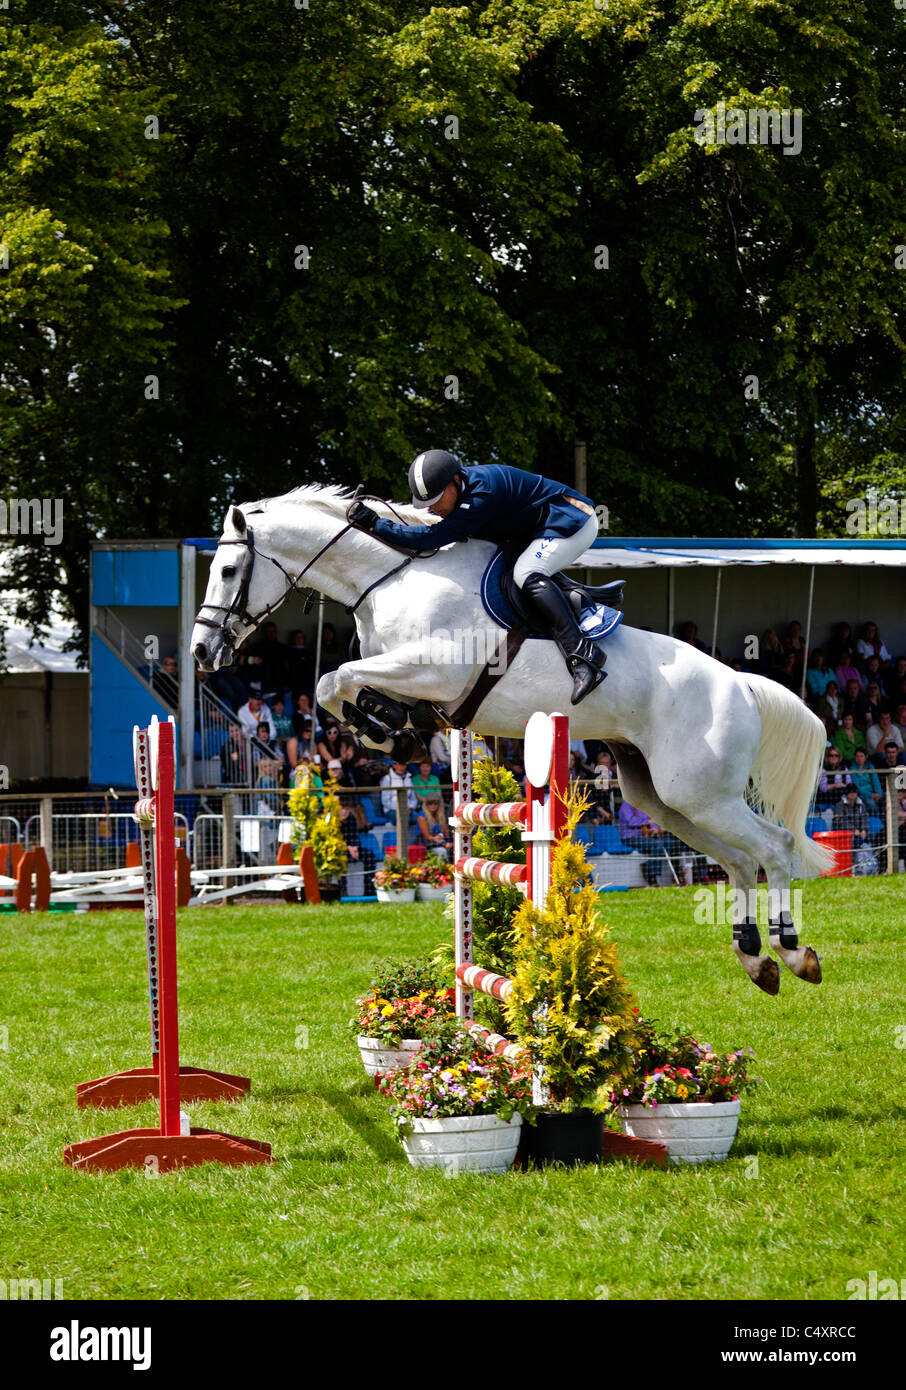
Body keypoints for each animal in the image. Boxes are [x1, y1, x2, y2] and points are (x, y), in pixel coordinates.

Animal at [191, 484, 829, 995]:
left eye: (228, 572)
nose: (202, 651)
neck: (388, 580)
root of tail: (741, 684)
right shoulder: (403, 674)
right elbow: (335, 687)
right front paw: (393, 735)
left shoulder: (434, 670)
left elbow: (336, 679)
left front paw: (390, 730)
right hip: (664, 796)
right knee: (739, 862)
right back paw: (755, 959)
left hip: (700, 792)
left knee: (773, 849)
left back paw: (793, 951)